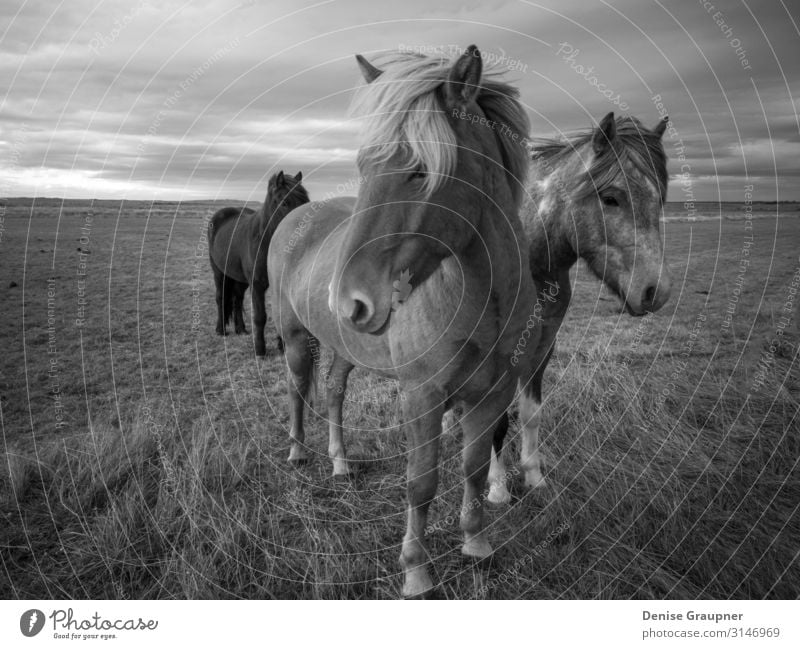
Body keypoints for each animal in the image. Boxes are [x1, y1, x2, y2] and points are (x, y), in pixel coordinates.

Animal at [208, 171, 308, 354]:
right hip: (218, 272)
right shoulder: (257, 285)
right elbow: (260, 316)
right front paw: (260, 350)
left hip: (240, 279)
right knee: (220, 297)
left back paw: (241, 329)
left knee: (237, 298)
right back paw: (221, 330)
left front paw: (282, 347)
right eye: (285, 202)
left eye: (306, 201)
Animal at [268, 45, 536, 596]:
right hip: (296, 339)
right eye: (363, 165)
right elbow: (421, 482)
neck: (480, 298)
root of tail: (294, 218)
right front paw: (416, 571)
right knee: (297, 390)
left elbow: (473, 466)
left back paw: (341, 462)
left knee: (334, 392)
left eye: (419, 170)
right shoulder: (422, 395)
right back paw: (299, 453)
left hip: (343, 348)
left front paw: (476, 542)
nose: (349, 301)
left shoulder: (494, 392)